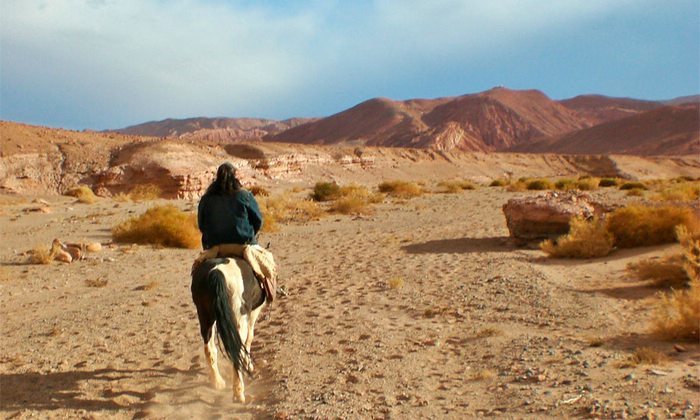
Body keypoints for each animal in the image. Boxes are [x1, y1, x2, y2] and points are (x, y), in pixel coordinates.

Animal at [191, 254, 268, 402]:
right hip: (238, 319)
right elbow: (250, 338)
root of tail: (217, 272)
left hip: (205, 316)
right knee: (236, 349)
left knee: (209, 348)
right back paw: (238, 393)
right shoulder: (253, 313)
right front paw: (249, 365)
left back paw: (217, 382)